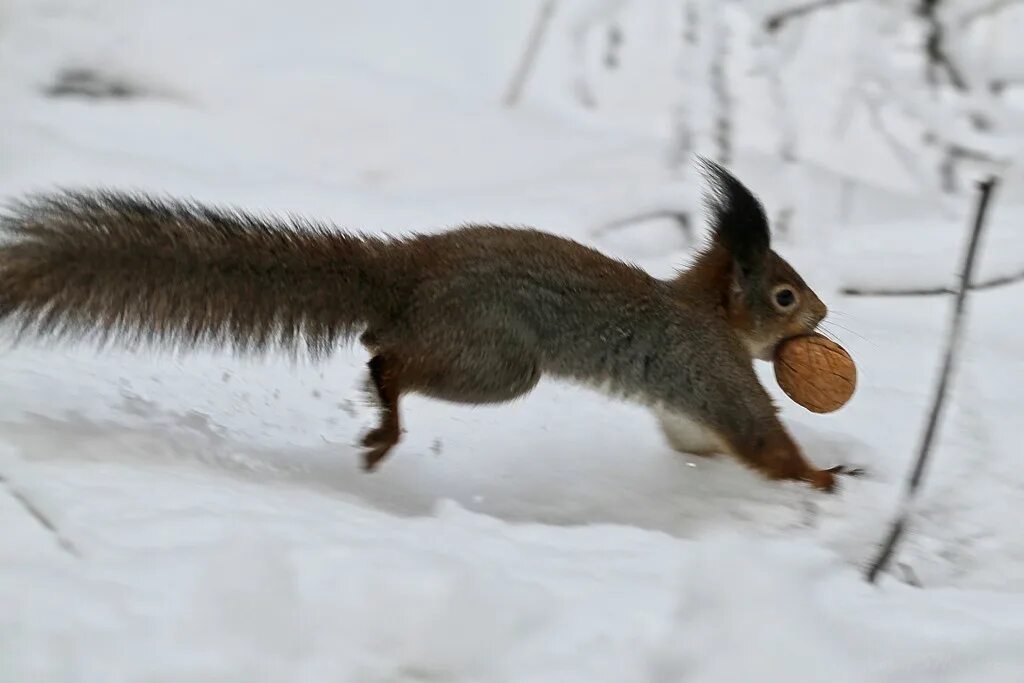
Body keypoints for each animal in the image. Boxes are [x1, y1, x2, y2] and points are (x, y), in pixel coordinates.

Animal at [2, 160, 856, 491]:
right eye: (784, 296)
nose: (821, 312)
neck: (708, 311)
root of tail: (411, 268)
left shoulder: (686, 399)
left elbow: (699, 437)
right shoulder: (712, 364)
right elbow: (760, 437)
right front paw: (823, 477)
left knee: (378, 347)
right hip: (497, 361)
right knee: (387, 358)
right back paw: (386, 421)